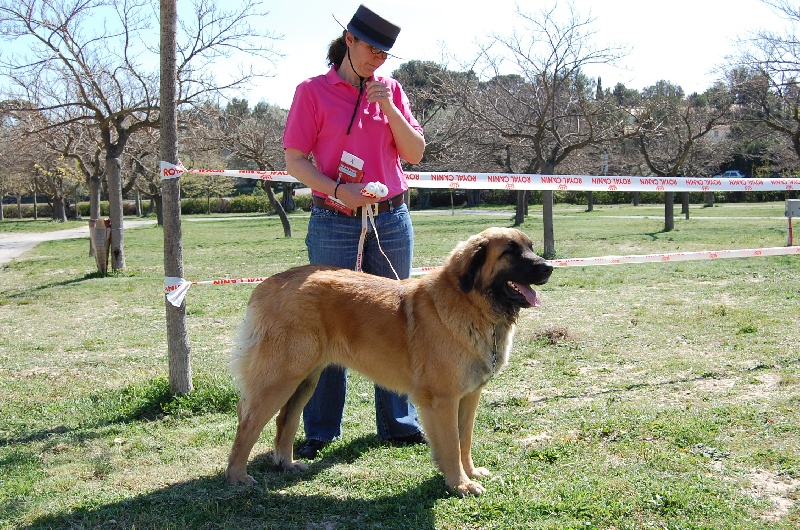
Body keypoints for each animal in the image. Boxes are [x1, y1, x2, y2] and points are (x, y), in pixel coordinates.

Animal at [223, 225, 552, 492]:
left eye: (530, 247)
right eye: (510, 252)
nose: (548, 267)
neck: (472, 303)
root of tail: (268, 283)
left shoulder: (469, 396)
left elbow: (464, 440)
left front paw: (469, 474)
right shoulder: (442, 399)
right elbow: (450, 443)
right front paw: (460, 484)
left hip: (306, 379)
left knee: (285, 419)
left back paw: (287, 464)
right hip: (280, 379)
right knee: (247, 422)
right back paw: (237, 476)